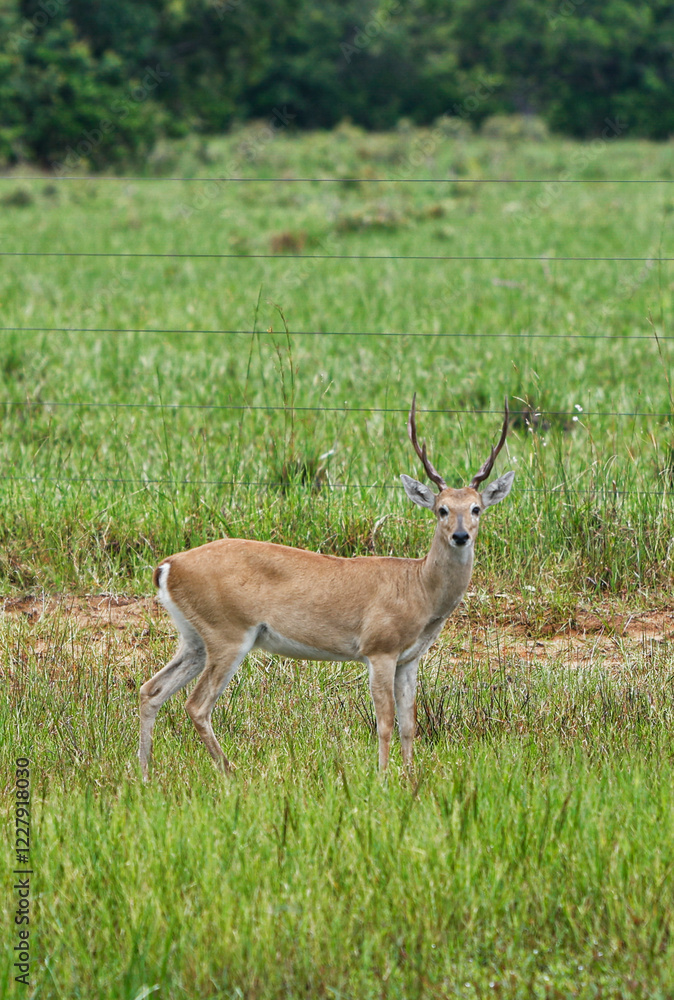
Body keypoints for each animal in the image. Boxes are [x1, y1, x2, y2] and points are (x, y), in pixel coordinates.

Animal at [139, 397, 514, 779]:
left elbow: (409, 723)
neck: (418, 587)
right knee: (196, 705)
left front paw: (410, 777)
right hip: (228, 635)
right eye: (441, 509)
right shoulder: (379, 649)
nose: (461, 535)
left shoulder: (409, 659)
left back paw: (145, 773)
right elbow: (385, 721)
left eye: (476, 508)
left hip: (195, 639)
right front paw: (382, 777)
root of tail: (167, 566)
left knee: (152, 689)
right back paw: (232, 772)